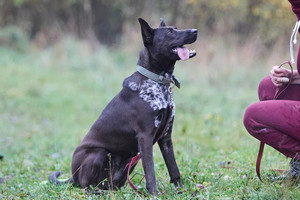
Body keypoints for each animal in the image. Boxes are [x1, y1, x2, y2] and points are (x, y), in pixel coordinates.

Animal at [49, 18, 197, 195]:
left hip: (129, 162)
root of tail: (72, 176)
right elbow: (150, 171)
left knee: (110, 185)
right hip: (99, 153)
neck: (156, 80)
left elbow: (173, 168)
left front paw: (181, 190)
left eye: (176, 28)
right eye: (170, 32)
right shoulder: (145, 138)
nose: (195, 31)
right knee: (86, 186)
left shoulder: (166, 137)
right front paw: (154, 193)